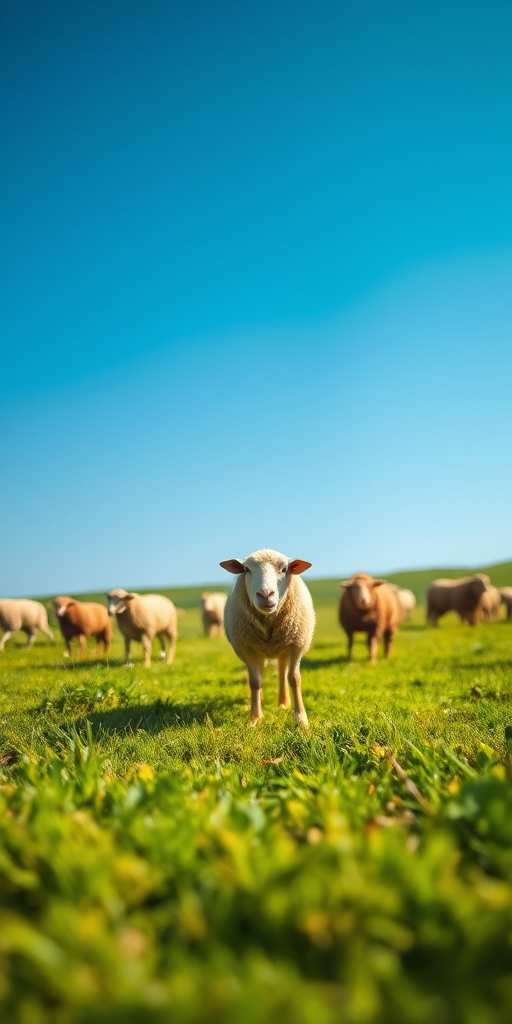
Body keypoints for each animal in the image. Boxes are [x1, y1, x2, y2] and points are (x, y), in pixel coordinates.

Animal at [220, 548, 314, 726]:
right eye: (247, 570)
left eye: (284, 569)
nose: (265, 595)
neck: (268, 619)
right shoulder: (246, 647)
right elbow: (255, 681)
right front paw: (255, 718)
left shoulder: (296, 645)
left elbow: (294, 679)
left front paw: (301, 720)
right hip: (259, 649)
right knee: (262, 674)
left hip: (283, 646)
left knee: (283, 673)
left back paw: (283, 703)